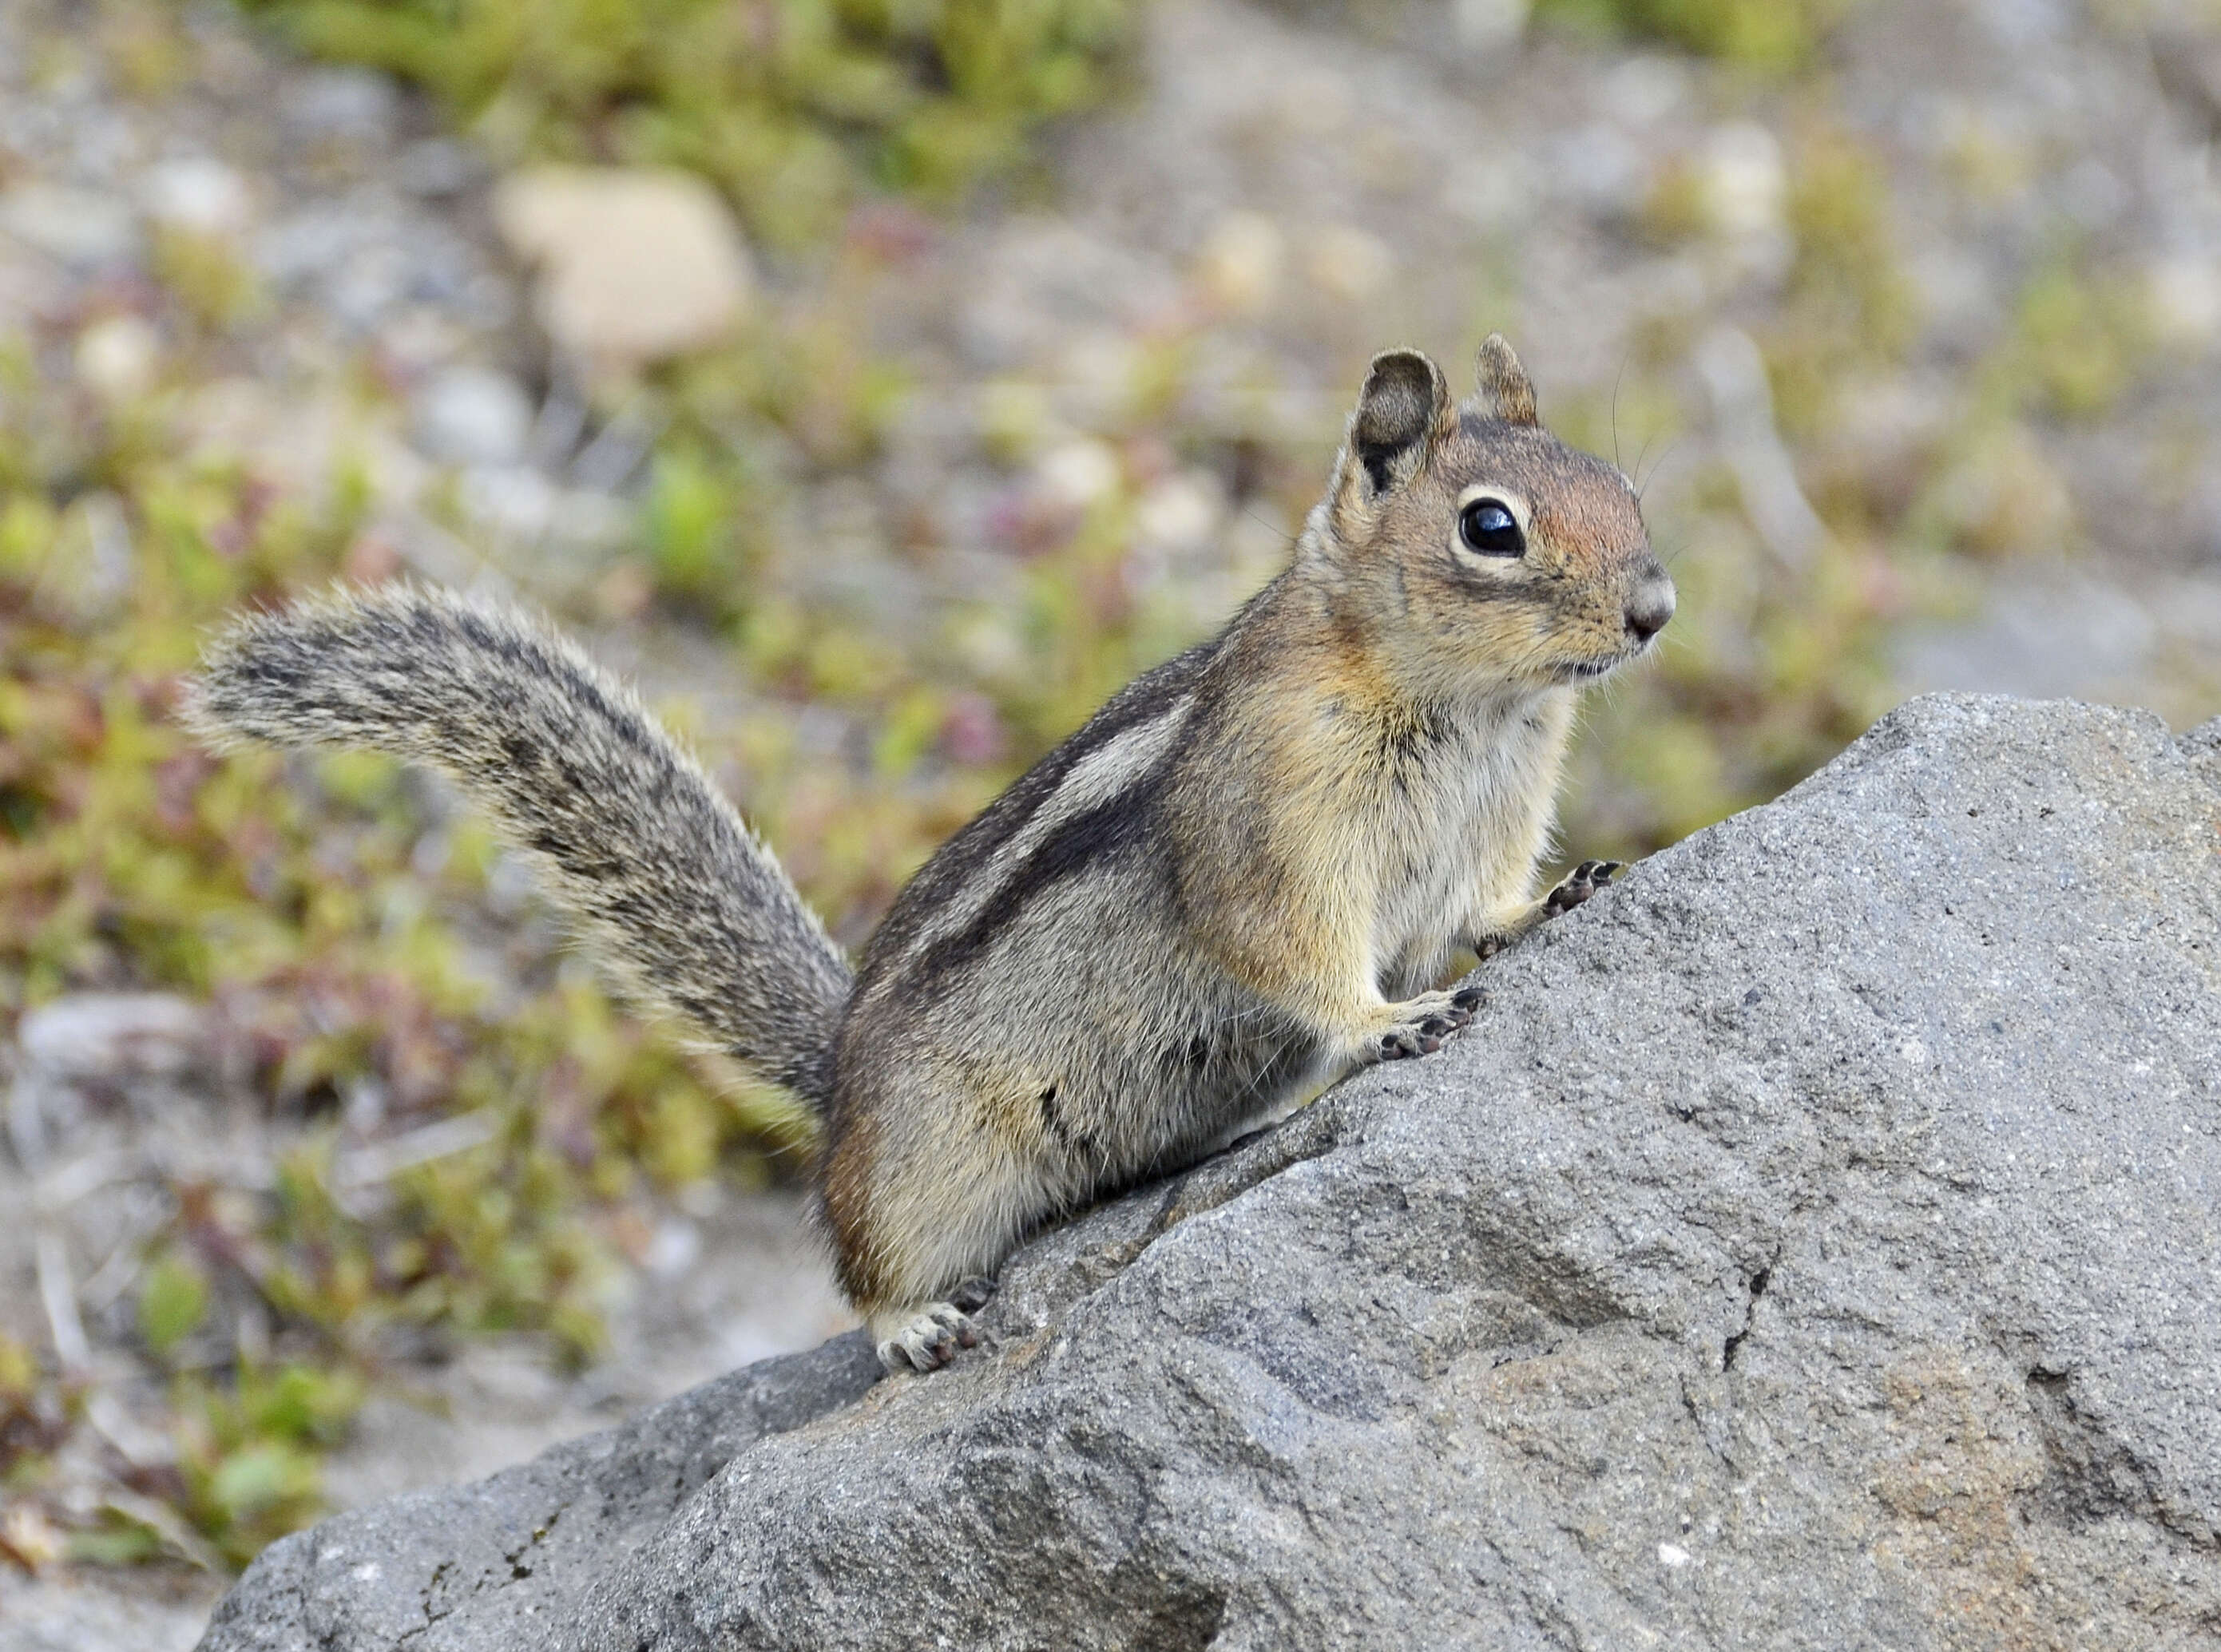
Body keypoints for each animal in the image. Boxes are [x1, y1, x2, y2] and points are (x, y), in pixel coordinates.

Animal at [186, 335, 1670, 1368]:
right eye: (1491, 526)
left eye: (1623, 485)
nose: (1656, 611)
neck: (1464, 709)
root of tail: (836, 1073)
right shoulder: (1271, 825)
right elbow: (1293, 950)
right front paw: (1383, 1020)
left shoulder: (1491, 820)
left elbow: (1480, 902)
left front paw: (1554, 900)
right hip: (920, 1167)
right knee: (863, 1265)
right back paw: (910, 1325)